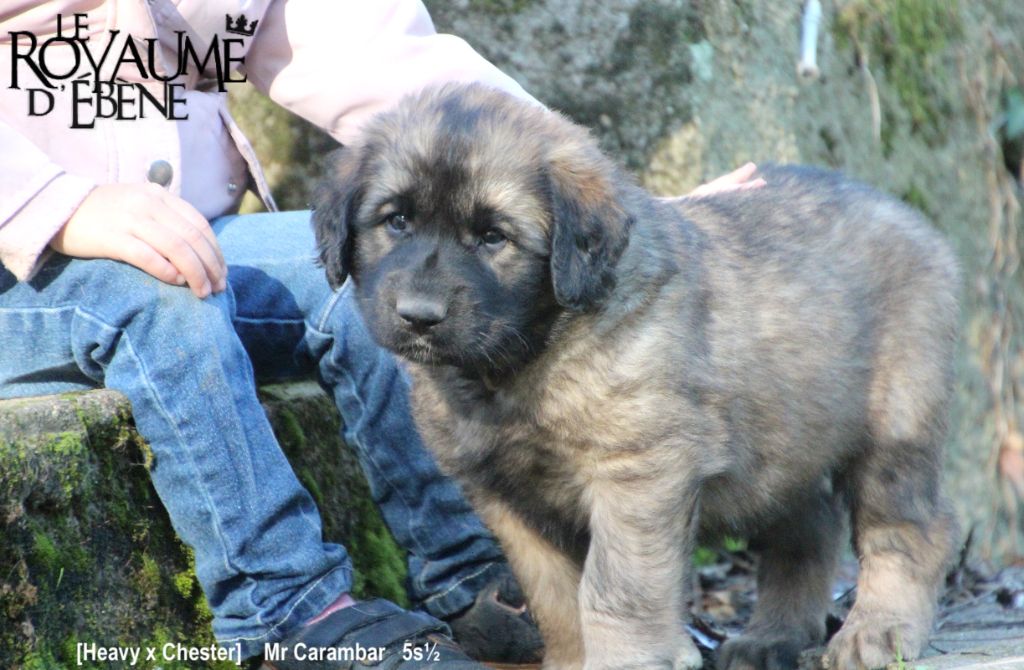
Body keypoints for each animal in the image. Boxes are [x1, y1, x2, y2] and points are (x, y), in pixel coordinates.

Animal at [312, 83, 960, 670]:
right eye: (396, 221)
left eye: (494, 237)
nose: (418, 316)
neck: (523, 362)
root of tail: (916, 221)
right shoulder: (507, 498)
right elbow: (554, 598)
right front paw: (572, 661)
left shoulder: (638, 472)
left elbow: (614, 588)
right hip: (781, 445)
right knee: (809, 531)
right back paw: (771, 638)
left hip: (892, 426)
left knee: (912, 528)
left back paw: (877, 631)